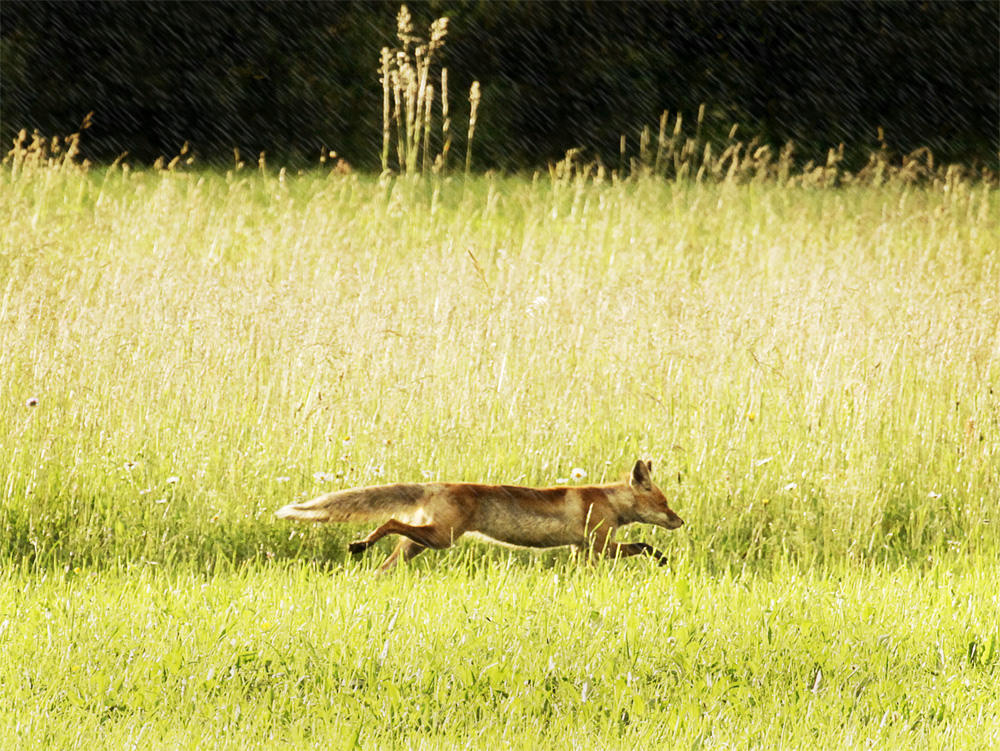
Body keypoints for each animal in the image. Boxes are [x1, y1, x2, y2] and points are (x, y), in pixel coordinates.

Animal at [274, 462, 684, 572]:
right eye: (665, 504)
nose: (681, 521)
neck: (609, 501)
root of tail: (435, 484)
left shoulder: (582, 550)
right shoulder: (601, 545)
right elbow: (643, 544)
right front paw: (662, 558)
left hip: (420, 544)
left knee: (389, 555)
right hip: (441, 539)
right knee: (388, 522)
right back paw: (361, 544)